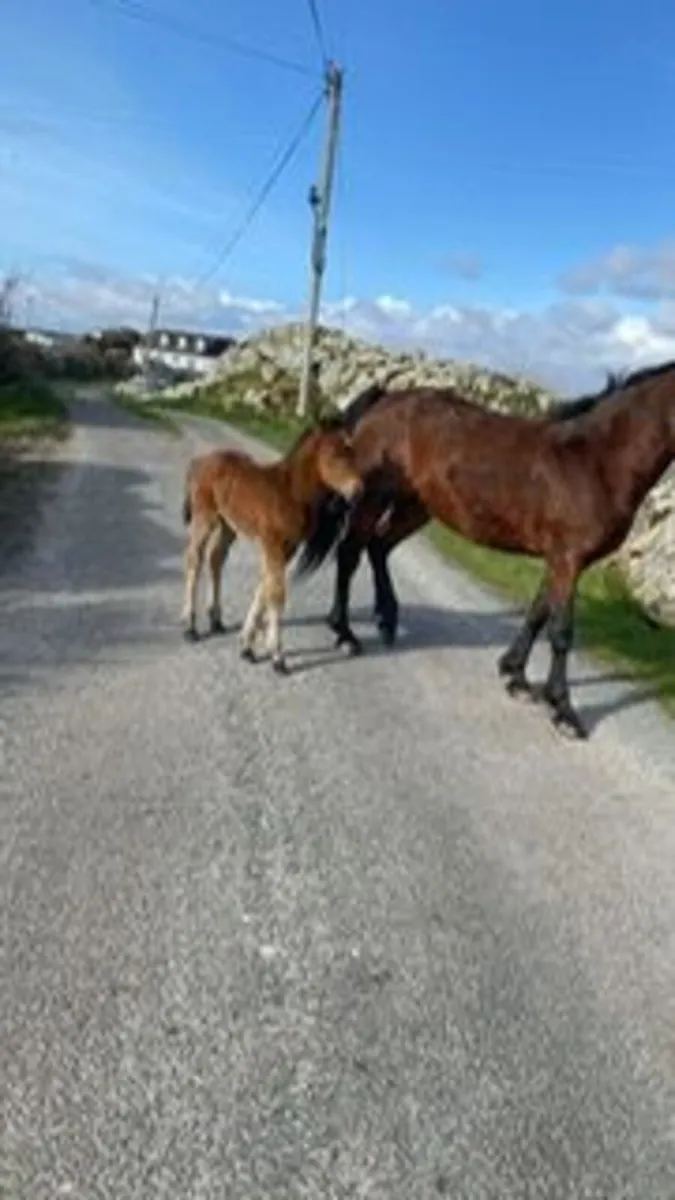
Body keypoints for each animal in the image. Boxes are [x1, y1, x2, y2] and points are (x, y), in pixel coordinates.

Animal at [181, 416, 364, 673]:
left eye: (353, 452)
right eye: (334, 454)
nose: (358, 490)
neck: (291, 493)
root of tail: (199, 461)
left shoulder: (288, 547)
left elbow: (265, 586)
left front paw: (247, 646)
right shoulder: (273, 544)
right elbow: (276, 593)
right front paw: (278, 657)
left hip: (228, 526)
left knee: (216, 559)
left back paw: (216, 620)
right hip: (205, 517)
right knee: (194, 558)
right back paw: (190, 627)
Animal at [294, 359, 675, 739]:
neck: (595, 461)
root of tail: (385, 400)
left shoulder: (560, 559)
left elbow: (537, 613)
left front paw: (515, 675)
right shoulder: (569, 558)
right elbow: (561, 631)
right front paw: (564, 711)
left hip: (416, 506)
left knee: (378, 547)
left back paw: (386, 620)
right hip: (372, 499)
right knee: (349, 554)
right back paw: (345, 633)